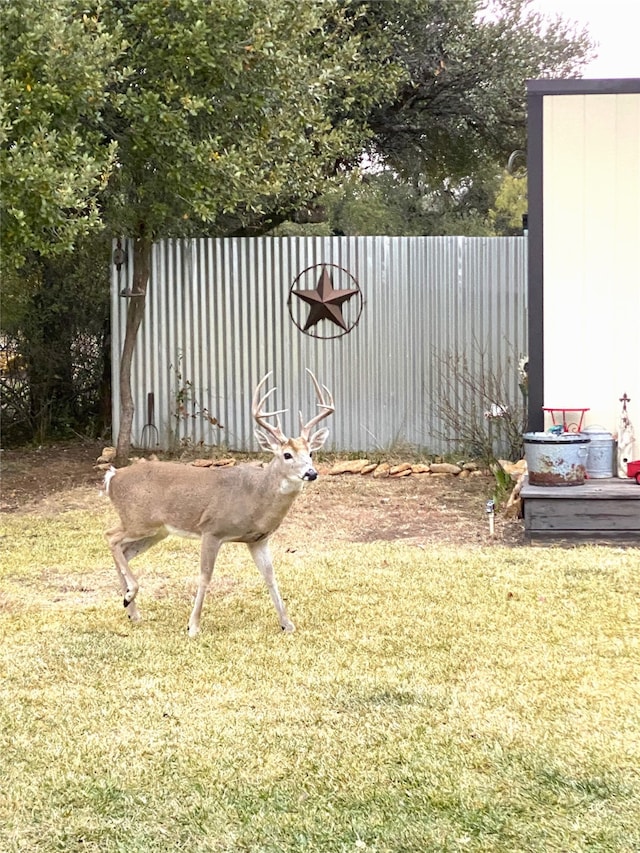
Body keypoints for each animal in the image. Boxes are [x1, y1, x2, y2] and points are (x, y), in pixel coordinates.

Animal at [102, 370, 332, 636]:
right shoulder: (212, 529)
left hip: (157, 531)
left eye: (311, 453)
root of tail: (113, 477)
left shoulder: (258, 539)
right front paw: (193, 626)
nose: (311, 473)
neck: (255, 498)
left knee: (124, 550)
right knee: (111, 537)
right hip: (138, 520)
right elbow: (205, 576)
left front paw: (287, 624)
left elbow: (270, 576)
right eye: (287, 455)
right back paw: (131, 595)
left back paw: (131, 608)